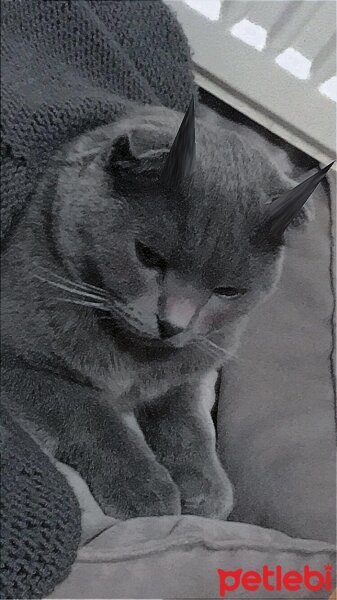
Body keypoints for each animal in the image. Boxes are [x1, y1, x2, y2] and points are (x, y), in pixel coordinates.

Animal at [0, 98, 330, 520]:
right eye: (148, 256)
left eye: (228, 291)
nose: (172, 323)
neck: (133, 359)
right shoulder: (16, 361)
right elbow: (86, 411)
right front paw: (145, 486)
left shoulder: (190, 368)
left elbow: (186, 418)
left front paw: (205, 486)